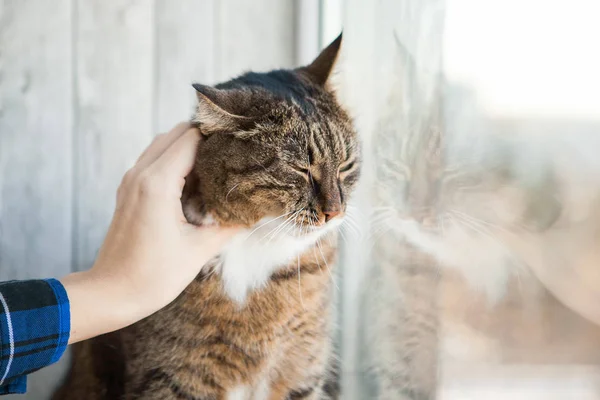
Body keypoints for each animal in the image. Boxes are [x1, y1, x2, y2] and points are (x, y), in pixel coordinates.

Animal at [52, 33, 360, 400]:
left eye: (346, 166)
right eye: (299, 169)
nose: (335, 211)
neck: (258, 243)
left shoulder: (303, 372)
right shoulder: (173, 378)